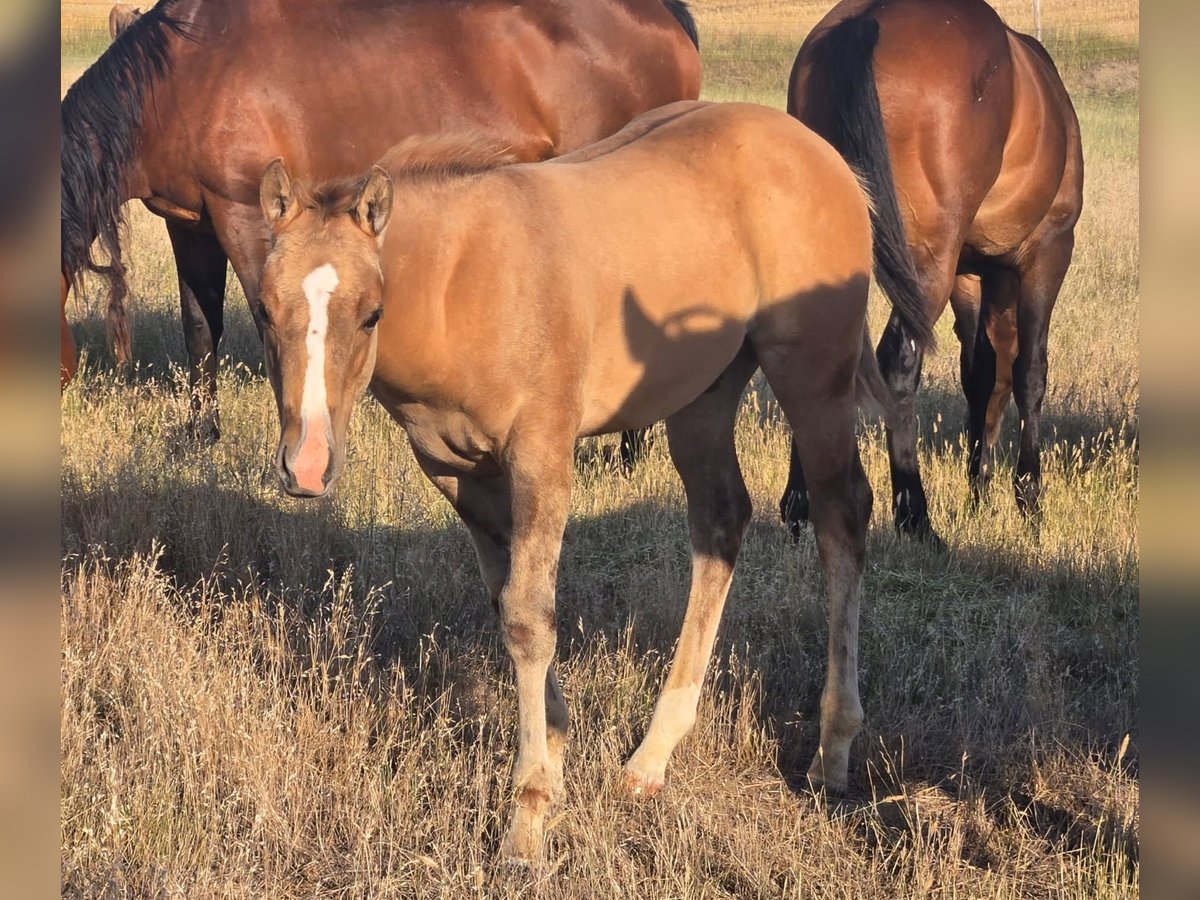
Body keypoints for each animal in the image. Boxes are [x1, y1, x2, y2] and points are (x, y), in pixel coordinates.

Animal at [60, 0, 701, 435]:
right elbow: (200, 329)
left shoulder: (242, 214)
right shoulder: (190, 223)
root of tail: (663, 15)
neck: (182, 78)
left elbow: (272, 328)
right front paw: (201, 436)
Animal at [253, 100, 932, 860]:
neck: (464, 280)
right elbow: (511, 602)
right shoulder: (459, 473)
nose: (307, 467)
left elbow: (528, 616)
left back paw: (832, 750)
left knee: (842, 520)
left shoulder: (542, 455)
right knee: (721, 522)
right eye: (262, 309)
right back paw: (652, 758)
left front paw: (527, 815)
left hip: (813, 378)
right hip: (703, 395)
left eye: (371, 312)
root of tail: (826, 157)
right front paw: (553, 757)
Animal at [779, 0, 1084, 541]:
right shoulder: (1047, 254)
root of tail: (869, 19)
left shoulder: (972, 274)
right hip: (928, 267)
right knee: (900, 363)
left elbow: (980, 372)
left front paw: (980, 492)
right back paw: (914, 515)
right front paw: (1029, 499)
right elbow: (1028, 372)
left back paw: (799, 509)